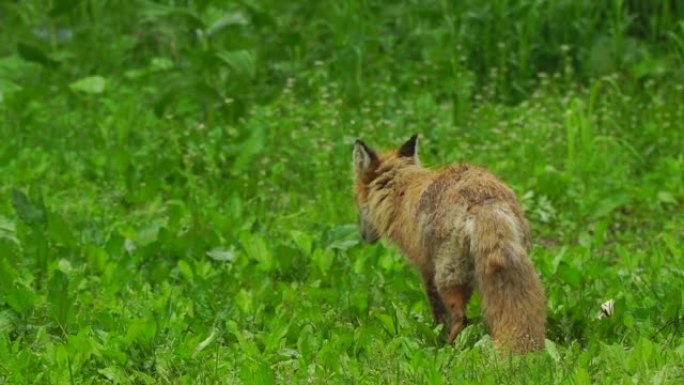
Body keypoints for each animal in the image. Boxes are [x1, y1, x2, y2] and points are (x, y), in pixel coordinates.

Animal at [352, 134, 544, 352]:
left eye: (358, 204)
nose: (363, 237)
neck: (402, 190)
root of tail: (484, 201)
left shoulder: (426, 268)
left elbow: (438, 313)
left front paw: (436, 339)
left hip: (447, 278)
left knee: (460, 318)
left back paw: (449, 350)